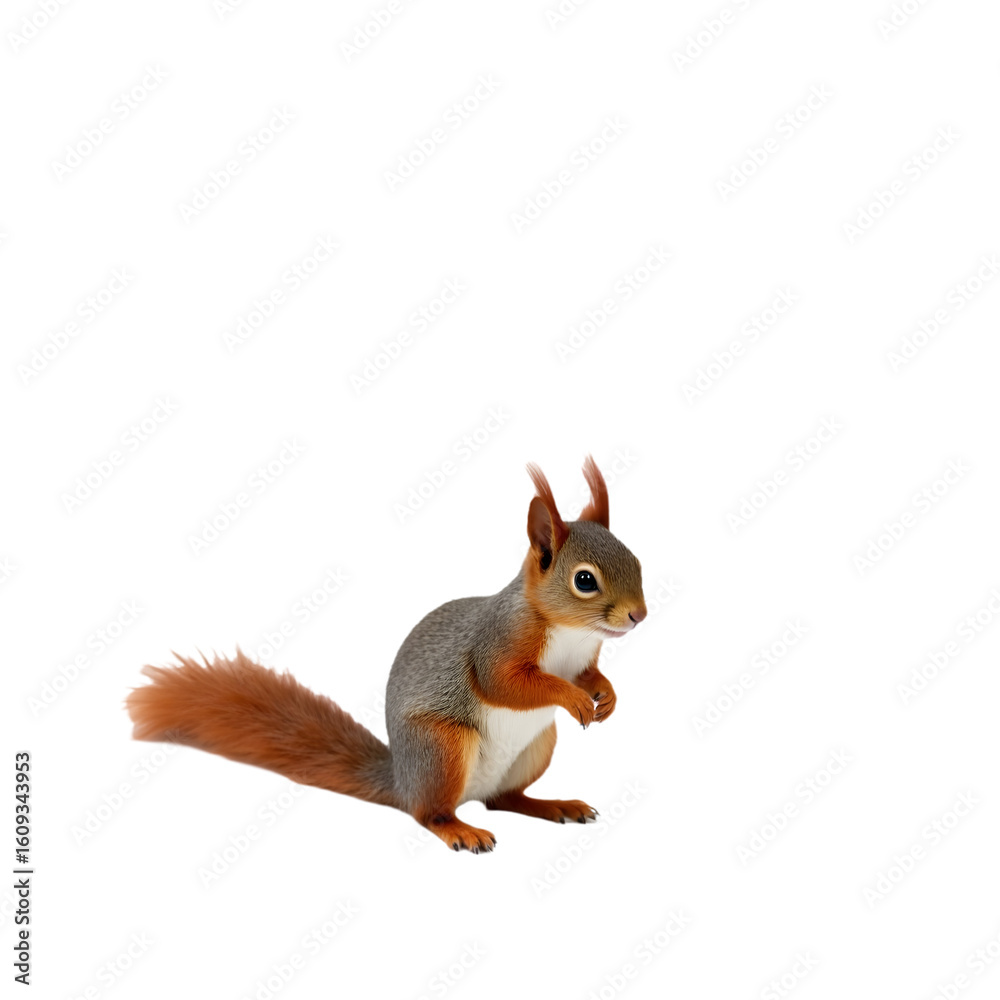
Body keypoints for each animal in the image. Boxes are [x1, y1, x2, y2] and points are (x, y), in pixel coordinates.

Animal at [125, 457, 646, 853]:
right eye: (584, 580)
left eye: (637, 560)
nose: (639, 615)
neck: (570, 633)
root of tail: (403, 780)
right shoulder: (498, 642)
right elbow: (506, 682)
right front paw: (573, 698)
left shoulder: (582, 658)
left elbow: (588, 674)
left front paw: (606, 694)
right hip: (442, 746)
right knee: (431, 814)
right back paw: (460, 830)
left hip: (536, 747)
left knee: (503, 798)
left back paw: (553, 805)